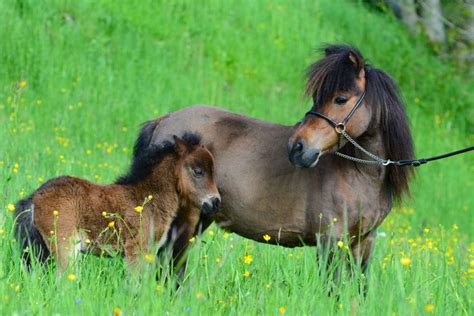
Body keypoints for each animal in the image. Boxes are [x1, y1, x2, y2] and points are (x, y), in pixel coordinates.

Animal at [140, 44, 412, 270]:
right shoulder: (331, 241)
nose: (297, 148)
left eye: (341, 99)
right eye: (317, 96)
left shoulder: (363, 243)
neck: (361, 176)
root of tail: (163, 120)